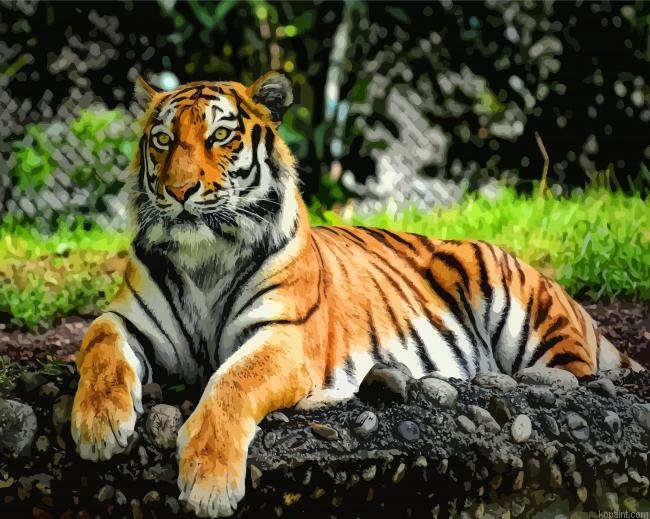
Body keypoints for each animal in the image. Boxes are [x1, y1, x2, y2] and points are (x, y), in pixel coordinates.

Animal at [70, 71, 642, 518]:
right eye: (163, 140)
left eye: (221, 136)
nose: (179, 190)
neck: (205, 256)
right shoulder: (127, 319)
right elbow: (99, 345)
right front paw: (99, 426)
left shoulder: (284, 335)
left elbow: (232, 381)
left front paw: (208, 482)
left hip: (523, 307)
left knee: (569, 379)